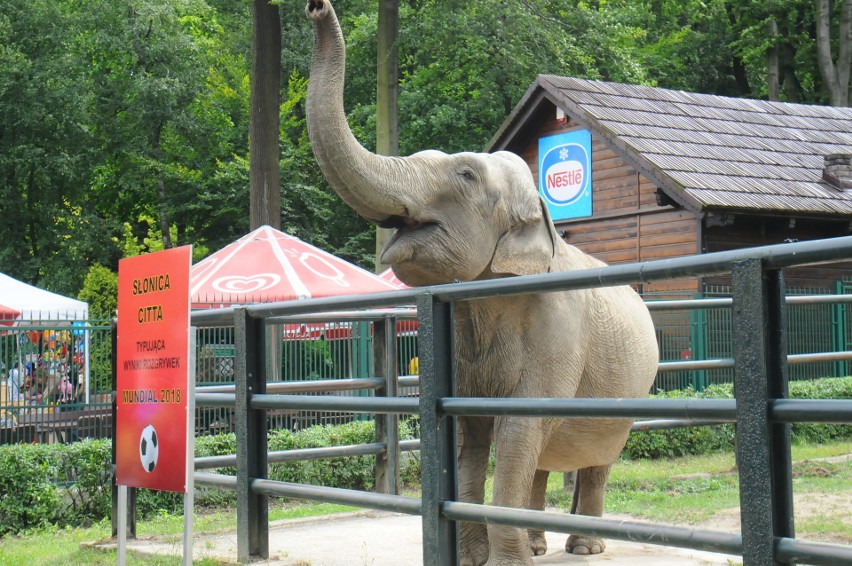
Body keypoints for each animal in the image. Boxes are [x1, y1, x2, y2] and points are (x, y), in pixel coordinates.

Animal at [304, 2, 660, 564]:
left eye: (466, 176)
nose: (315, 6)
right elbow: (467, 433)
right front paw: (475, 558)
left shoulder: (558, 332)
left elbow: (518, 429)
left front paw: (504, 559)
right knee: (543, 460)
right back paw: (538, 544)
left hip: (629, 393)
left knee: (597, 459)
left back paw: (585, 547)